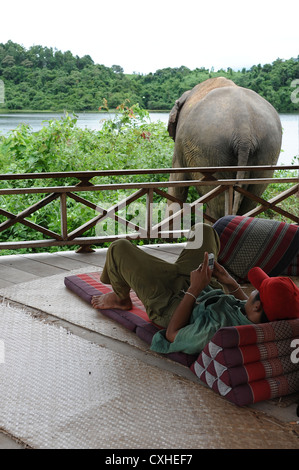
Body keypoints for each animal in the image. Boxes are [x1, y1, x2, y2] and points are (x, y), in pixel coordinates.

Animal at [169, 77, 284, 222]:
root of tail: (244, 132)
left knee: (215, 204)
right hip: (267, 152)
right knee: (250, 200)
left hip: (209, 152)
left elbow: (176, 182)